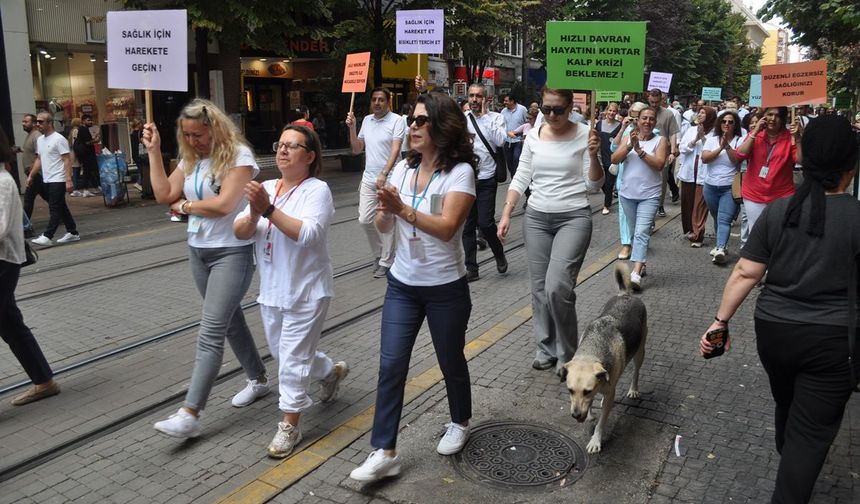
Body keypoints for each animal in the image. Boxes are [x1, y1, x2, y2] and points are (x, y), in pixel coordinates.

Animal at [564, 262, 644, 454]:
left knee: (636, 372)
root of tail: (625, 295)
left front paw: (596, 440)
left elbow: (601, 423)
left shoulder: (607, 396)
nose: (576, 415)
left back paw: (633, 389)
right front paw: (590, 414)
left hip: (640, 351)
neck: (592, 352)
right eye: (570, 390)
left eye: (587, 391)